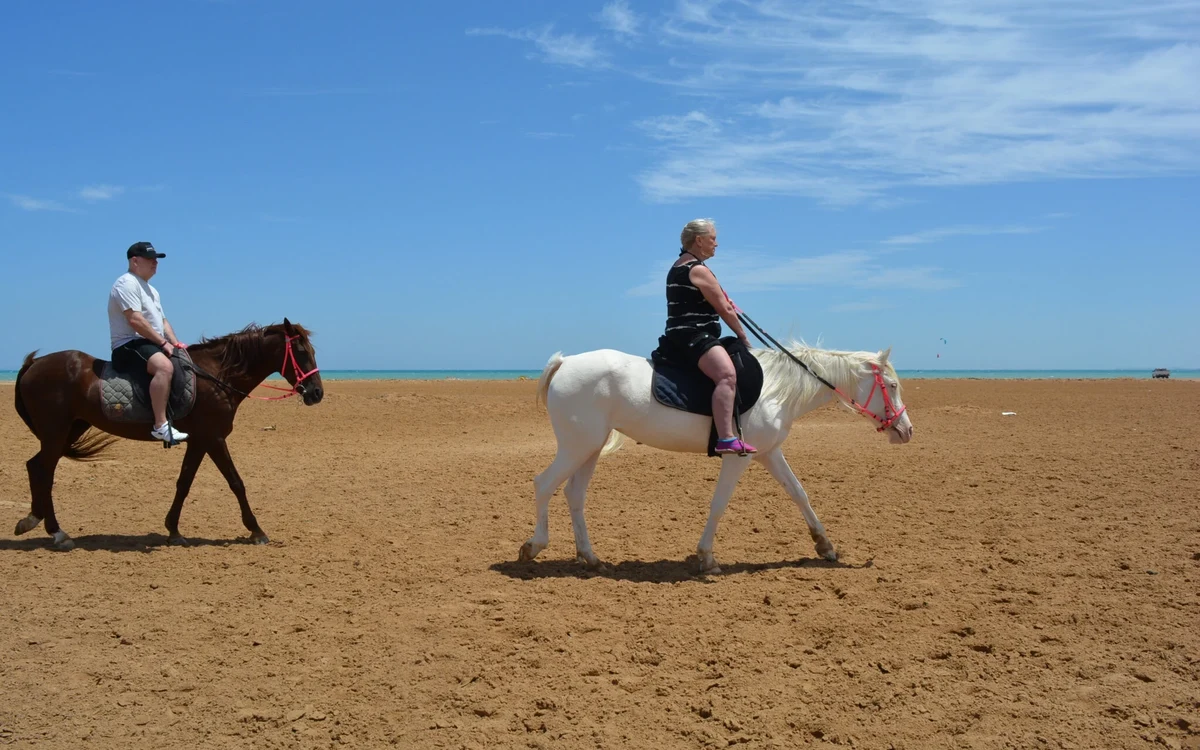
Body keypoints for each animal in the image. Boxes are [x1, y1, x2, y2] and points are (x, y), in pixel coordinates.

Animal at [11, 319, 323, 550]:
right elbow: (236, 482)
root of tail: (34, 364)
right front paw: (256, 530)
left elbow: (184, 483)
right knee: (43, 471)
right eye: (301, 352)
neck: (217, 376)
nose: (317, 393)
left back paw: (34, 521)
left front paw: (173, 530)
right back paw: (56, 532)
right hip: (56, 433)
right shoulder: (214, 438)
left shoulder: (198, 441)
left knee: (36, 467)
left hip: (69, 429)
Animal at [520, 344, 914, 574]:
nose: (907, 430)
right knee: (543, 484)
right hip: (577, 445)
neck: (776, 388)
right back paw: (534, 547)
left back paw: (590, 558)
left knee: (574, 494)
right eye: (893, 386)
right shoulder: (738, 458)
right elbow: (719, 504)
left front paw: (825, 545)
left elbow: (799, 493)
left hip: (589, 448)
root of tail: (565, 362)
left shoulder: (769, 453)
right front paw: (707, 558)